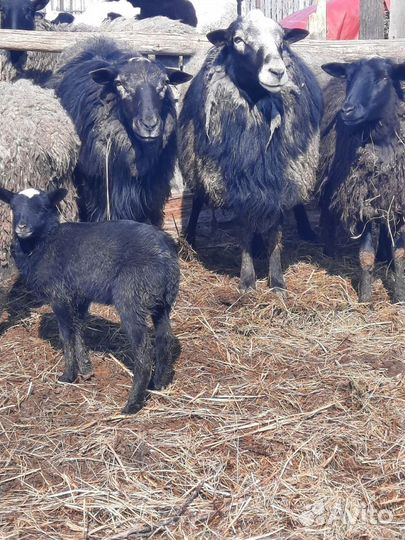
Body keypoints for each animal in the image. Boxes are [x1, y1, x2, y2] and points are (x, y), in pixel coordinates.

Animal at [0, 186, 180, 414]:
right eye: (14, 208)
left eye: (42, 208)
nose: (21, 227)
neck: (44, 243)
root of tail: (165, 252)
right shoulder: (80, 295)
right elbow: (78, 329)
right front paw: (86, 368)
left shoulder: (59, 294)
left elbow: (66, 335)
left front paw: (68, 375)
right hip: (162, 301)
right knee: (164, 339)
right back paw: (159, 384)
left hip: (132, 298)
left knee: (143, 352)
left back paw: (132, 404)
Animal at [178, 10, 324, 294]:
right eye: (237, 39)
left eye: (282, 40)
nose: (277, 71)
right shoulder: (233, 180)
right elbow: (244, 229)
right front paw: (247, 281)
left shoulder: (279, 178)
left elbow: (274, 232)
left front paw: (277, 281)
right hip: (198, 162)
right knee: (199, 200)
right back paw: (189, 237)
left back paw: (305, 230)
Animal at [318, 60, 404, 304]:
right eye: (349, 77)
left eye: (384, 77)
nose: (347, 110)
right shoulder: (361, 202)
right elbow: (365, 255)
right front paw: (366, 297)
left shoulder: (398, 201)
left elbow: (400, 254)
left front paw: (399, 295)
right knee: (327, 211)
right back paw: (329, 249)